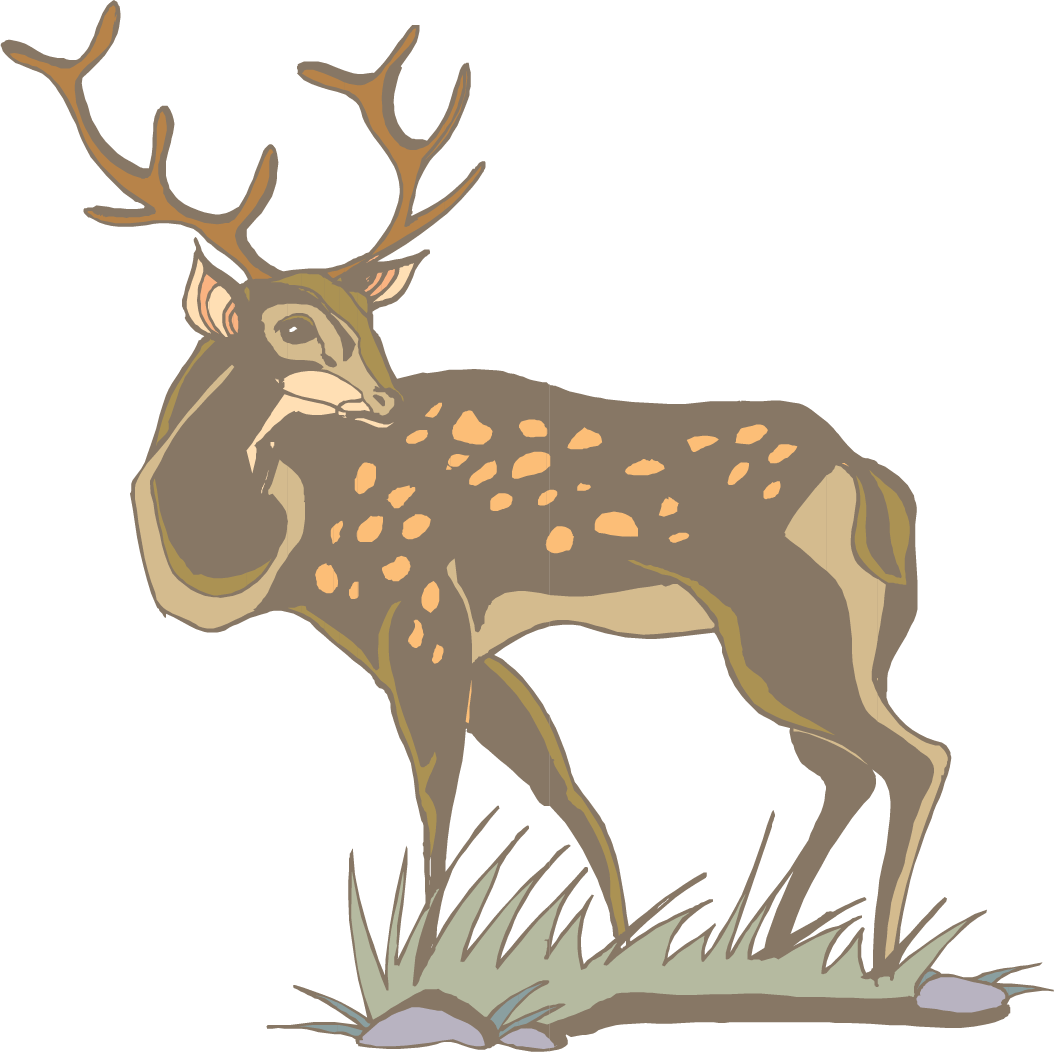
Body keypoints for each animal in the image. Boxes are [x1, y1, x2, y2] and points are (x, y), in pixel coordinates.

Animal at [4, 2, 952, 982]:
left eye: (370, 317)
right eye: (294, 326)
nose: (387, 399)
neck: (269, 555)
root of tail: (875, 484)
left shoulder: (417, 612)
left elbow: (439, 793)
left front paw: (422, 969)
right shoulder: (457, 640)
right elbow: (562, 781)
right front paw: (615, 943)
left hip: (789, 627)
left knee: (914, 756)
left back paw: (882, 961)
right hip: (835, 639)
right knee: (845, 769)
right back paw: (770, 943)